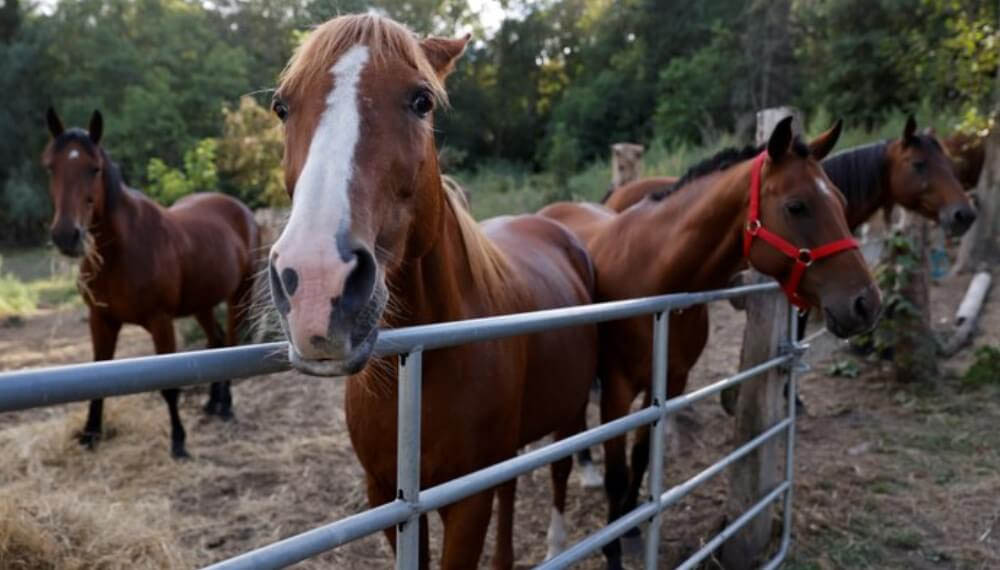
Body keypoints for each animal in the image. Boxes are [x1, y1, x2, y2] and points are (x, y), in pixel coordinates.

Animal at [42, 108, 260, 458]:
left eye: (94, 168)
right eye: (51, 166)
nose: (66, 235)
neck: (119, 252)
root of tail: (240, 210)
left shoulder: (160, 322)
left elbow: (169, 386)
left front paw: (179, 441)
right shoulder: (100, 320)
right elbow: (96, 374)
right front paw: (90, 434)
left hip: (240, 295)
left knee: (229, 342)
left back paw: (225, 406)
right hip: (202, 303)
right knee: (214, 342)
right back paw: (213, 404)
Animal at [265, 14, 596, 568]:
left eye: (421, 100)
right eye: (282, 107)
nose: (315, 283)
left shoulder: (466, 503)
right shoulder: (387, 498)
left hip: (568, 413)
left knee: (559, 471)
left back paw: (557, 544)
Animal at [539, 117, 881, 570]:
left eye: (841, 201)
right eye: (796, 206)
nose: (867, 303)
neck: (653, 273)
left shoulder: (668, 383)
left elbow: (641, 457)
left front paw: (632, 526)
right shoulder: (617, 389)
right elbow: (617, 474)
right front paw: (612, 548)